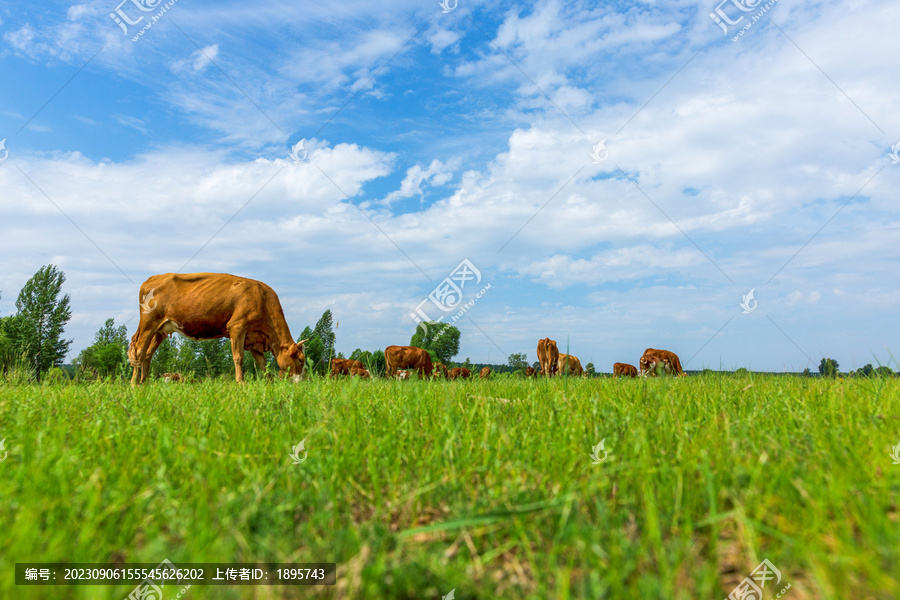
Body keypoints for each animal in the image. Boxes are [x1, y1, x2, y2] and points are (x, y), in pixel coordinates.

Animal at [126, 274, 310, 384]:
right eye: (300, 360)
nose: (303, 382)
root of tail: (152, 278)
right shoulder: (237, 326)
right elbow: (238, 357)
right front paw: (241, 382)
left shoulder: (255, 339)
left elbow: (263, 364)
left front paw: (269, 382)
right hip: (148, 324)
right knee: (139, 351)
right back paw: (134, 384)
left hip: (160, 330)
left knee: (147, 355)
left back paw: (144, 383)